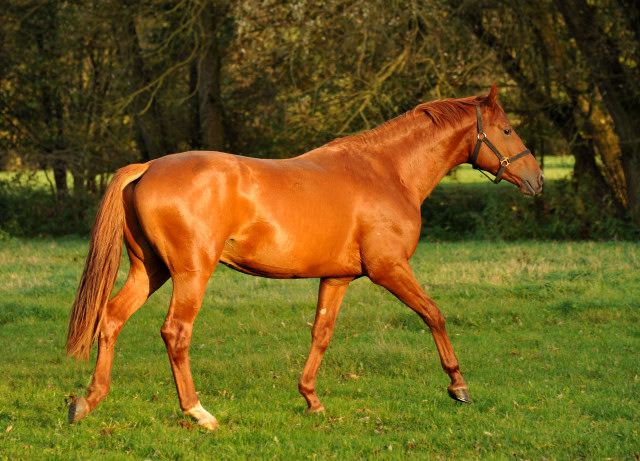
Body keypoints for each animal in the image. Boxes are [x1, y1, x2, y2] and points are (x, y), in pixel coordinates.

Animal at [67, 84, 544, 430]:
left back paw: (88, 401)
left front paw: (311, 398)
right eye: (506, 130)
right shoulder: (389, 269)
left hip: (150, 270)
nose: (537, 179)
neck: (386, 171)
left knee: (111, 318)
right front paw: (458, 385)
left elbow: (321, 334)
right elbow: (434, 315)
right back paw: (199, 413)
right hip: (190, 273)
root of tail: (148, 167)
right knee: (176, 333)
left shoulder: (337, 278)